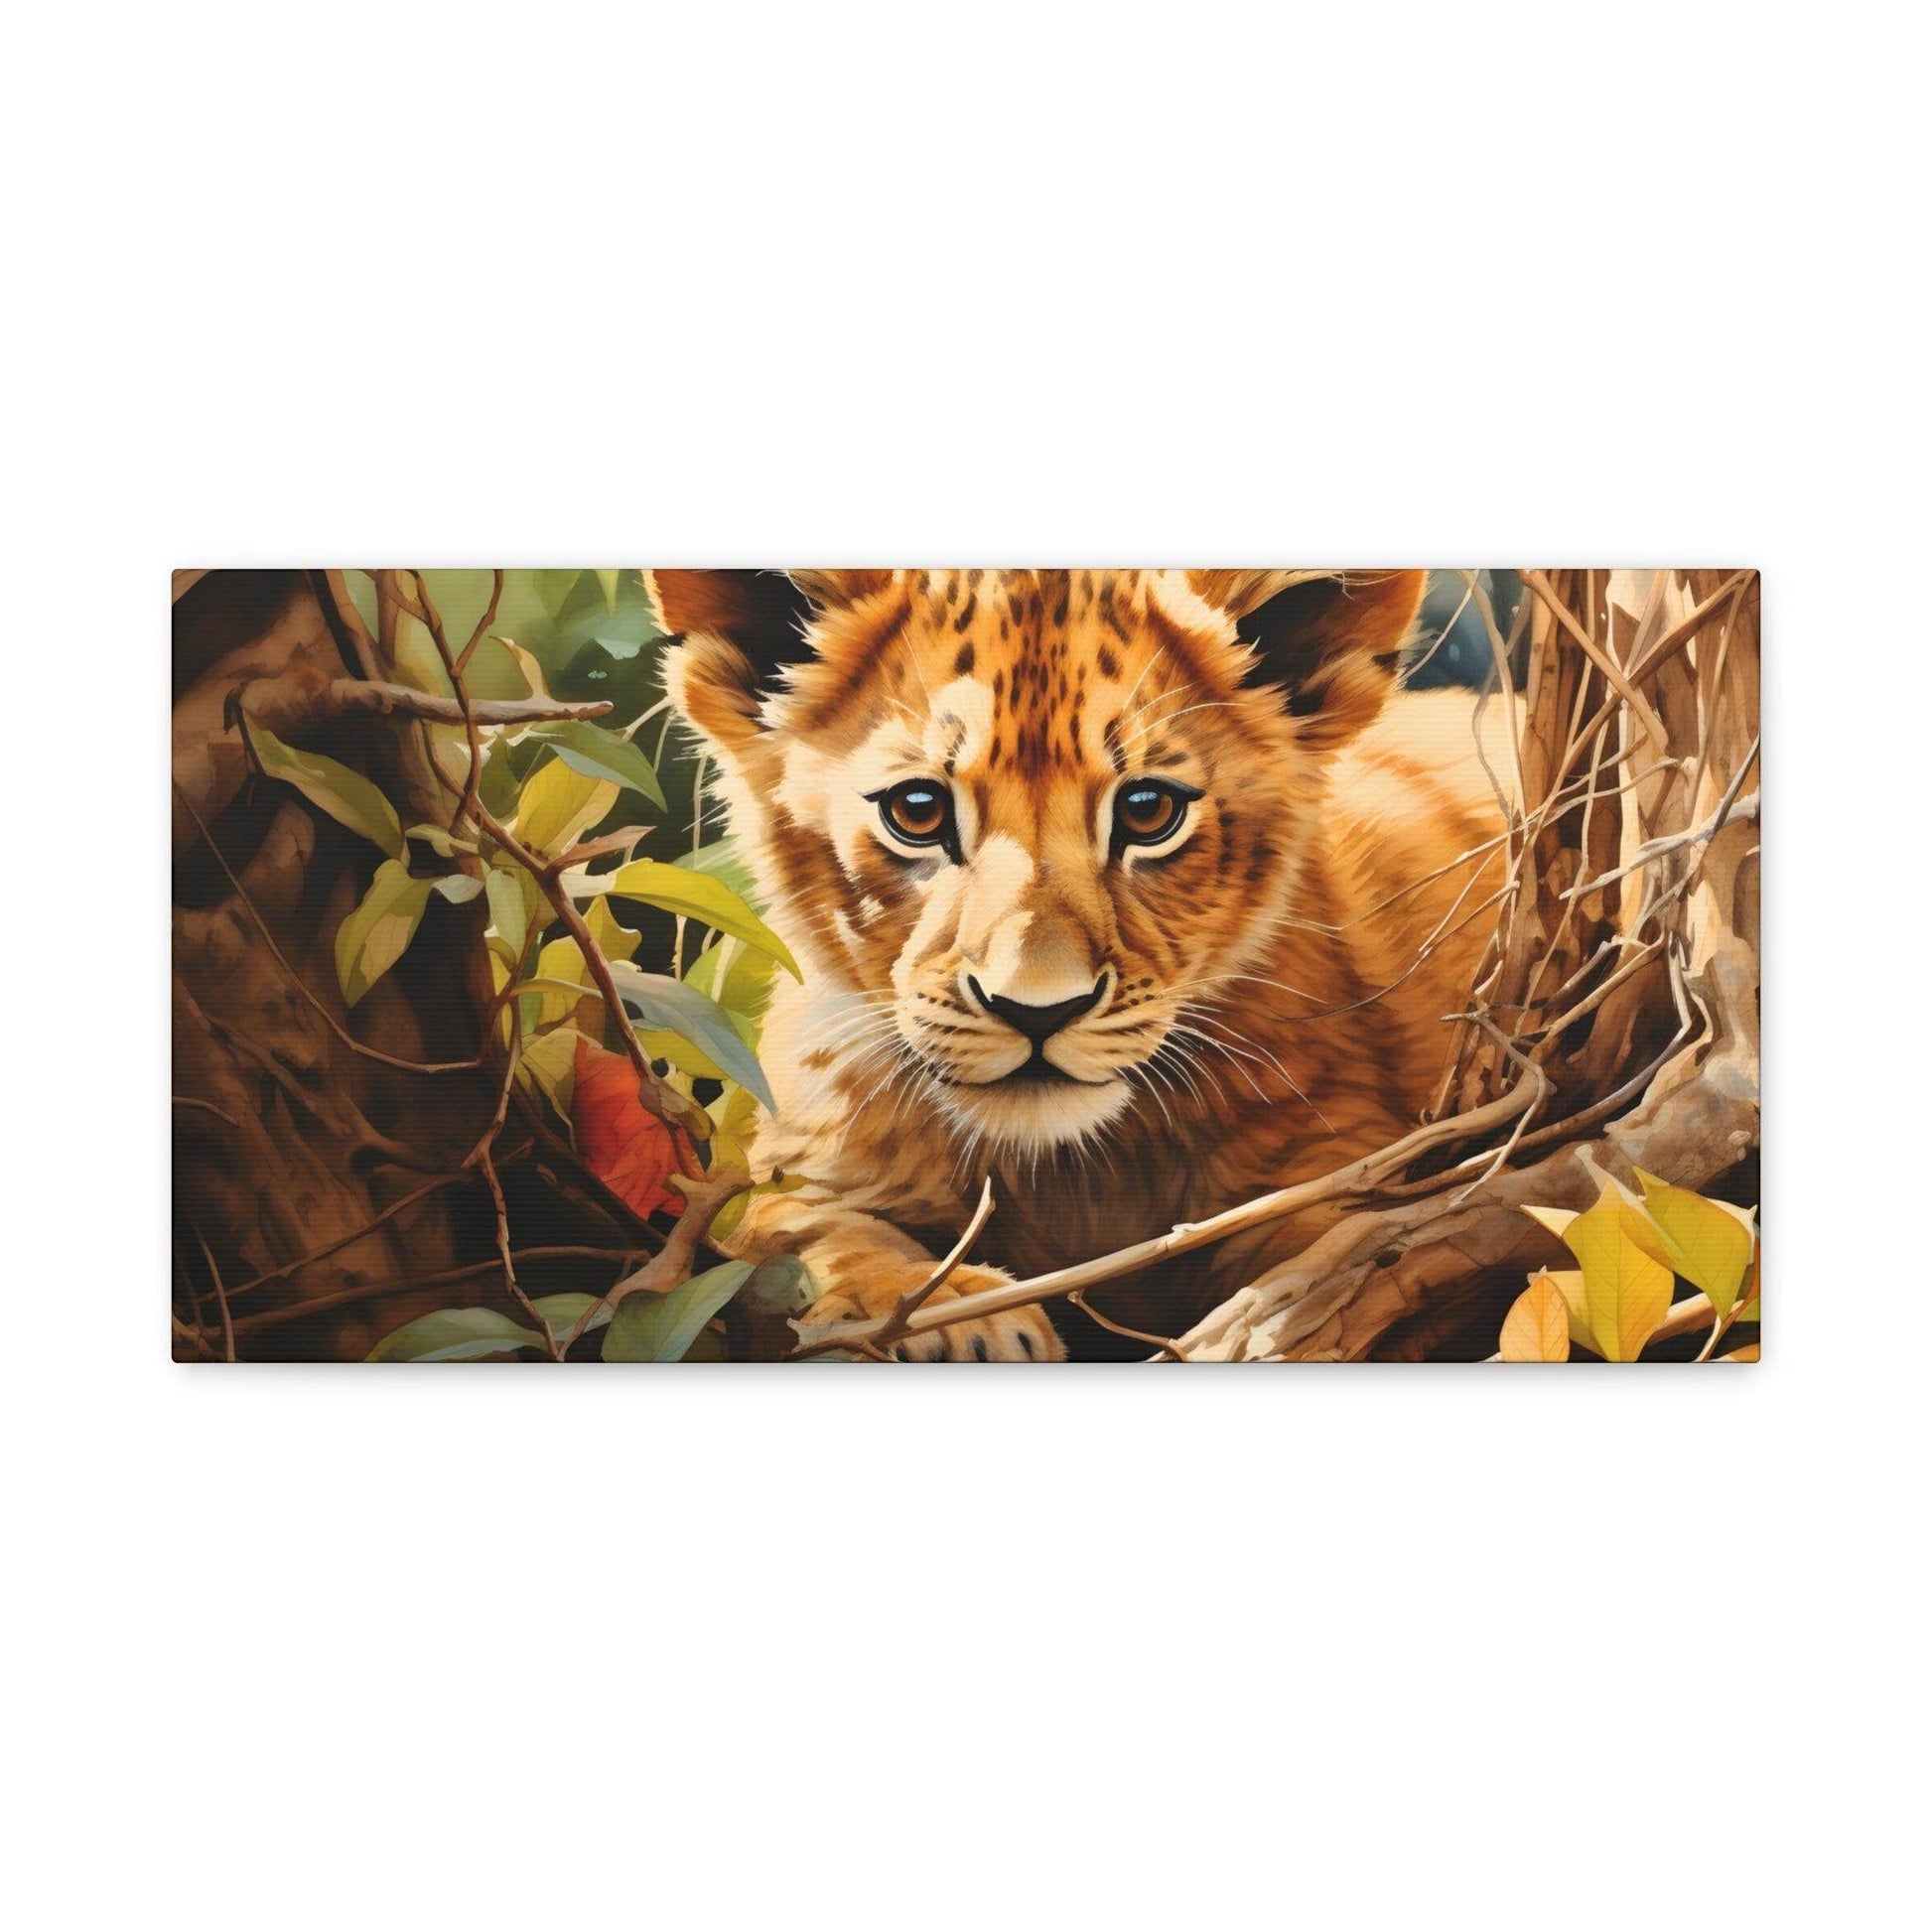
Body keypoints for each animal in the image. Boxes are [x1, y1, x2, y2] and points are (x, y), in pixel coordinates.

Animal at [651, 569, 1516, 1360]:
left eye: (1148, 810)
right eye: (917, 811)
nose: (1038, 1009)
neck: (1069, 1174)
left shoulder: (1345, 1159)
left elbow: (1350, 1253)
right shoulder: (790, 1166)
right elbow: (796, 1228)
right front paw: (957, 1318)